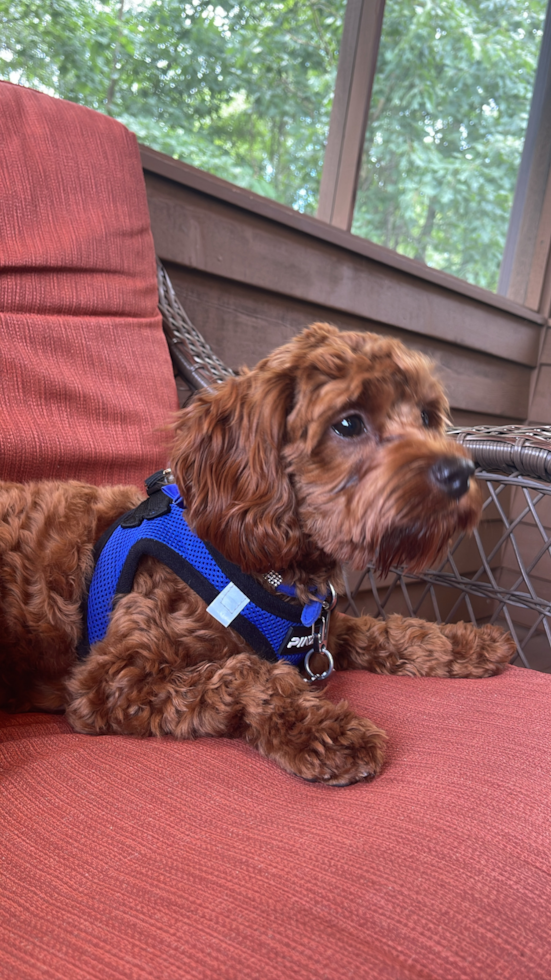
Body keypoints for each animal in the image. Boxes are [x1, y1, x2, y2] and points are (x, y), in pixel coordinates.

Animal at [0, 326, 512, 784]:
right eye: (348, 423)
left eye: (426, 416)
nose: (461, 472)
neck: (257, 565)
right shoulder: (111, 683)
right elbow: (249, 674)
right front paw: (326, 729)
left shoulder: (320, 631)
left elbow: (389, 629)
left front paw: (468, 643)